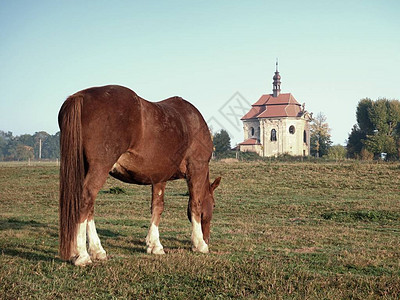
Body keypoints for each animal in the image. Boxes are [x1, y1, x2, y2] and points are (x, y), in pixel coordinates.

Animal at [59, 84, 220, 264]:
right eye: (214, 205)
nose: (207, 238)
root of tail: (80, 96)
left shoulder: (159, 176)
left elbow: (157, 206)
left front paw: (154, 245)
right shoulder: (197, 168)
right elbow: (195, 204)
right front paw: (199, 244)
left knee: (89, 208)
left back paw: (97, 250)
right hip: (98, 169)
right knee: (85, 201)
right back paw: (82, 255)